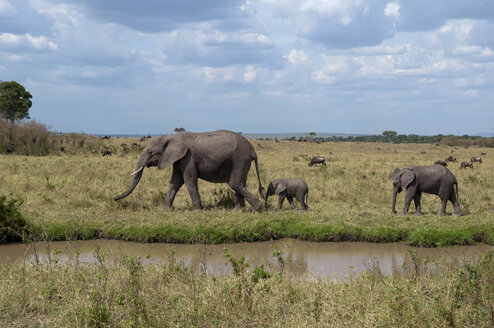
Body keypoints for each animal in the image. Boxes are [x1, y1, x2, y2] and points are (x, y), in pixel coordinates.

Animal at [114, 129, 264, 211]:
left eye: (151, 152)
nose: (114, 198)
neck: (170, 137)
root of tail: (253, 151)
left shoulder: (188, 157)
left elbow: (189, 179)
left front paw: (196, 212)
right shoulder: (179, 158)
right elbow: (175, 181)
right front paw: (166, 210)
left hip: (240, 158)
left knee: (235, 183)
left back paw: (256, 208)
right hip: (240, 161)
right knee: (239, 184)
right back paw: (238, 210)